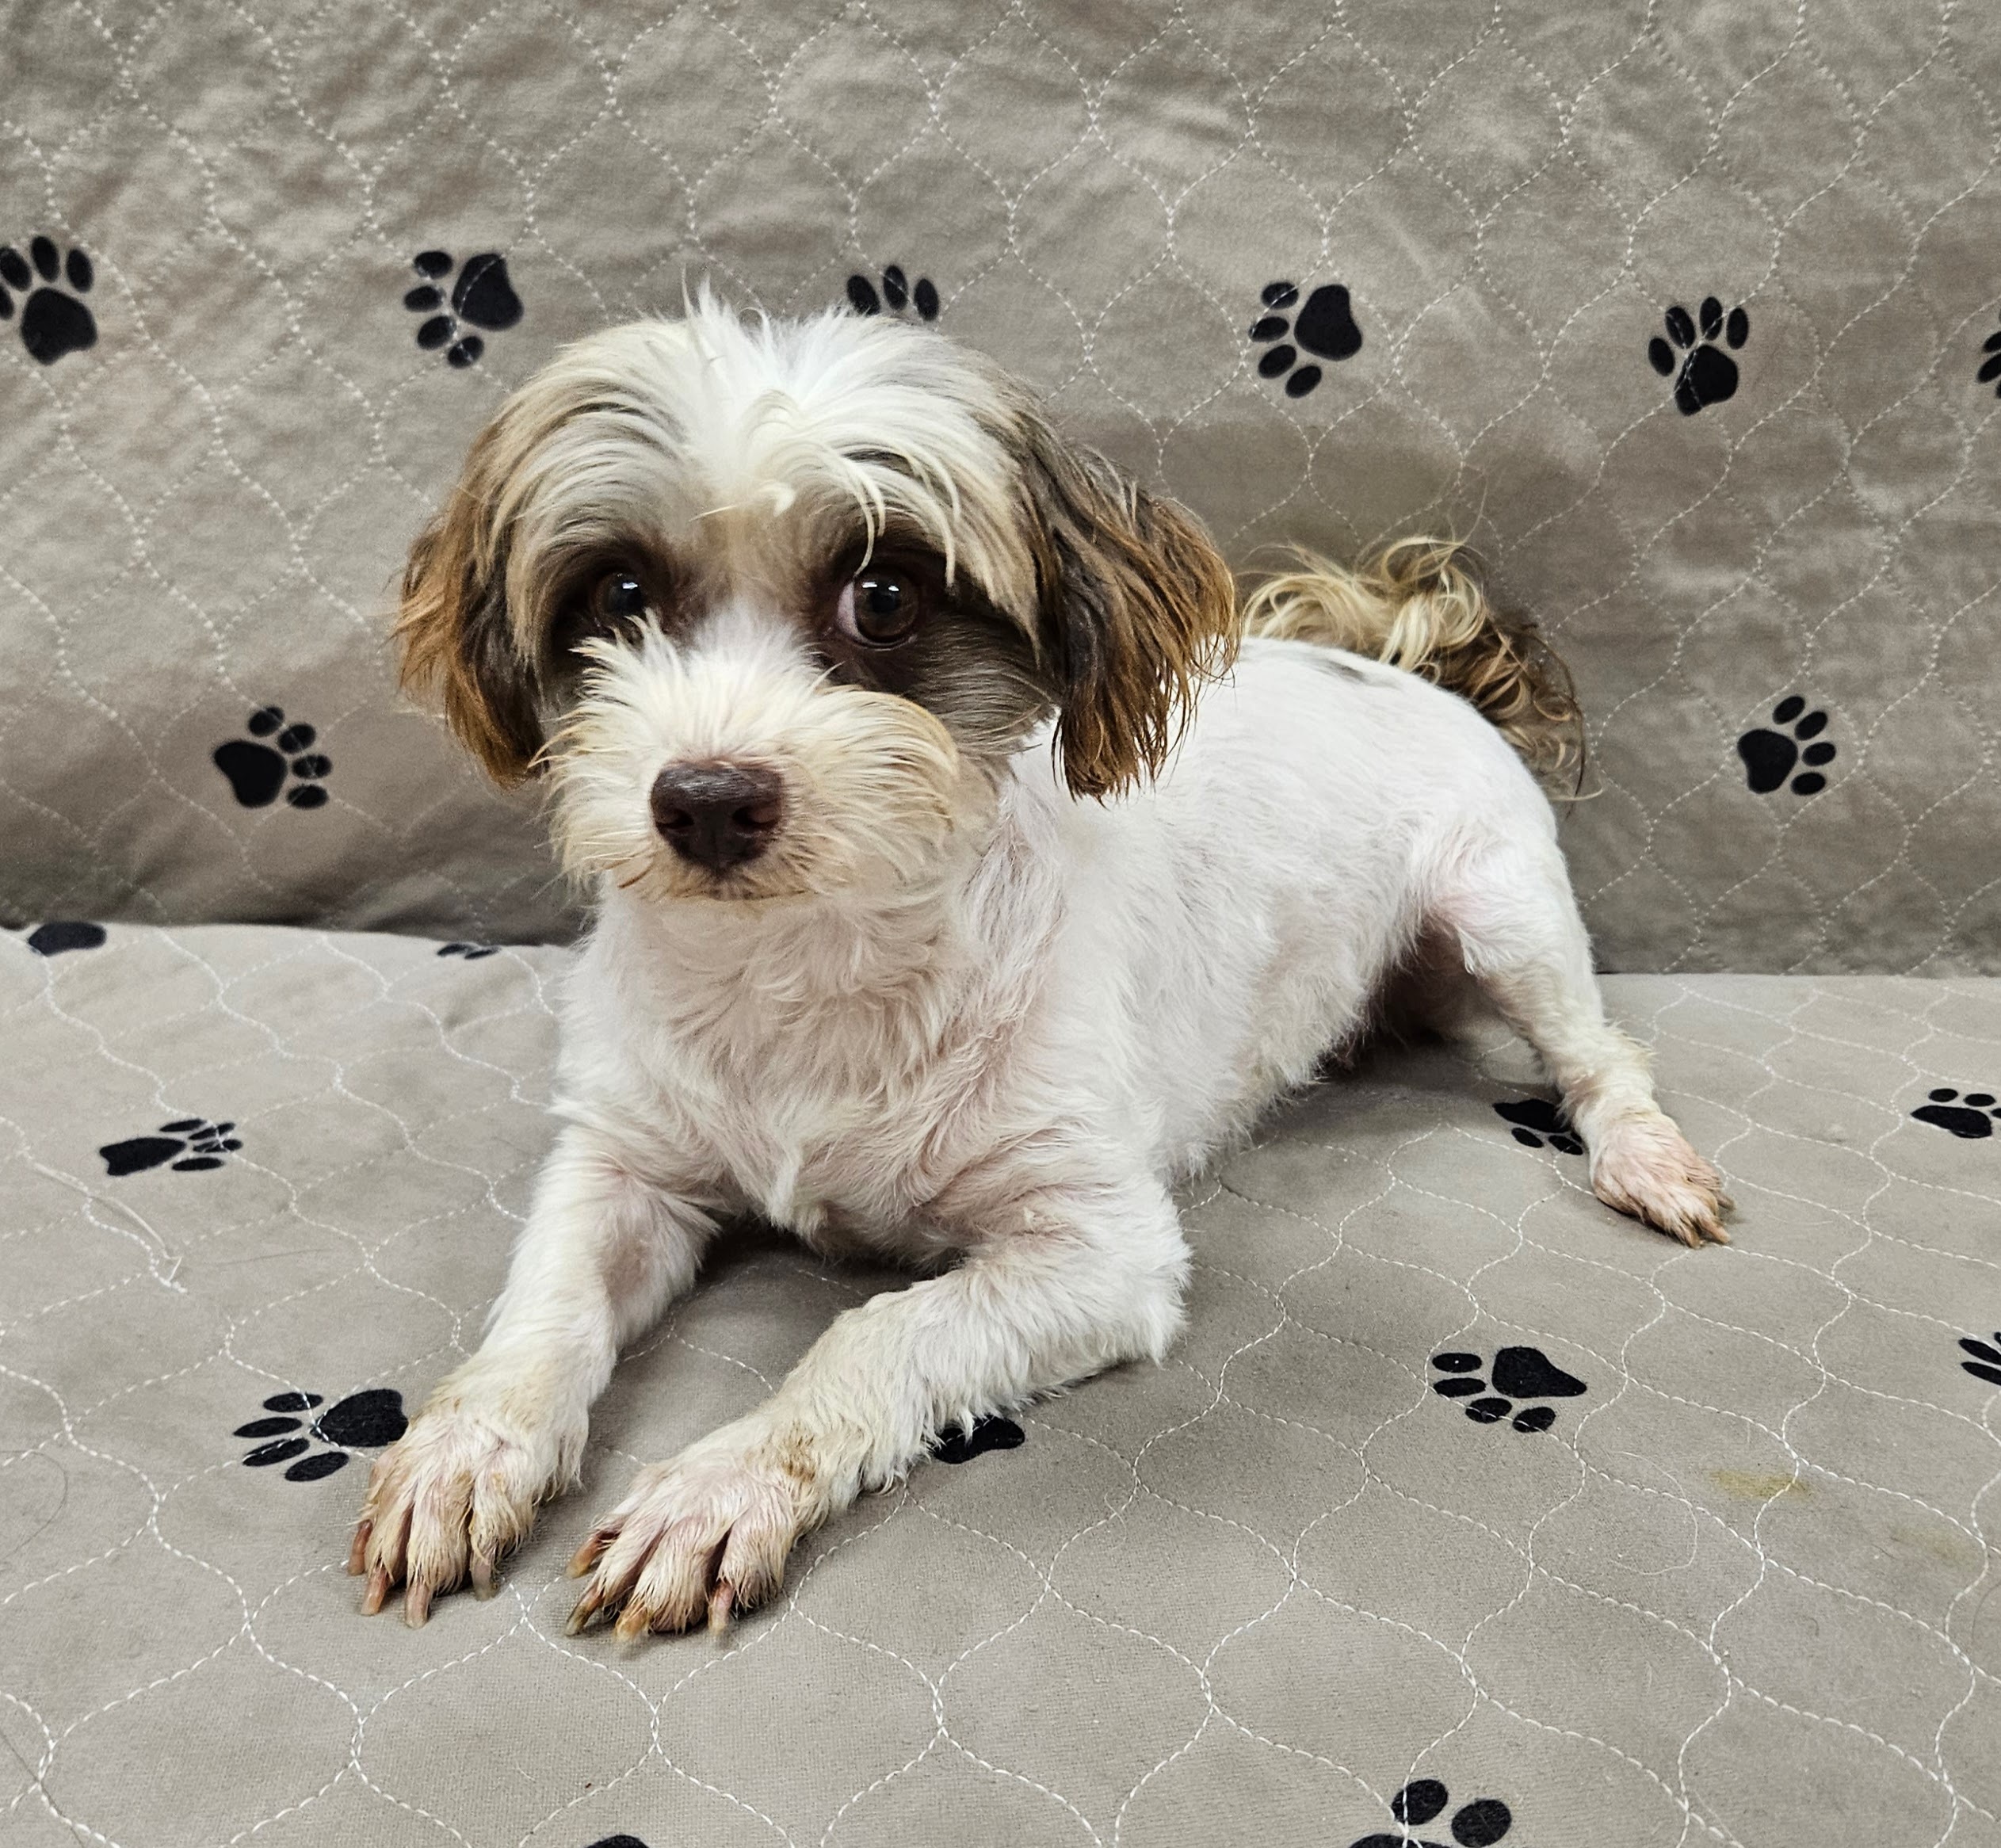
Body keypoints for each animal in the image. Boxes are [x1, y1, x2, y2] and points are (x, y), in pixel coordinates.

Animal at [352, 296, 1728, 1640]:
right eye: (620, 593)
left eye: (884, 596)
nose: (705, 800)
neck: (809, 968)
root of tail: (1399, 661)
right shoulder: (623, 1163)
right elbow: (545, 1309)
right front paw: (469, 1449)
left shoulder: (1101, 1258)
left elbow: (871, 1336)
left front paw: (722, 1486)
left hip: (1506, 917)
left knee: (1600, 1055)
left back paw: (1643, 1156)